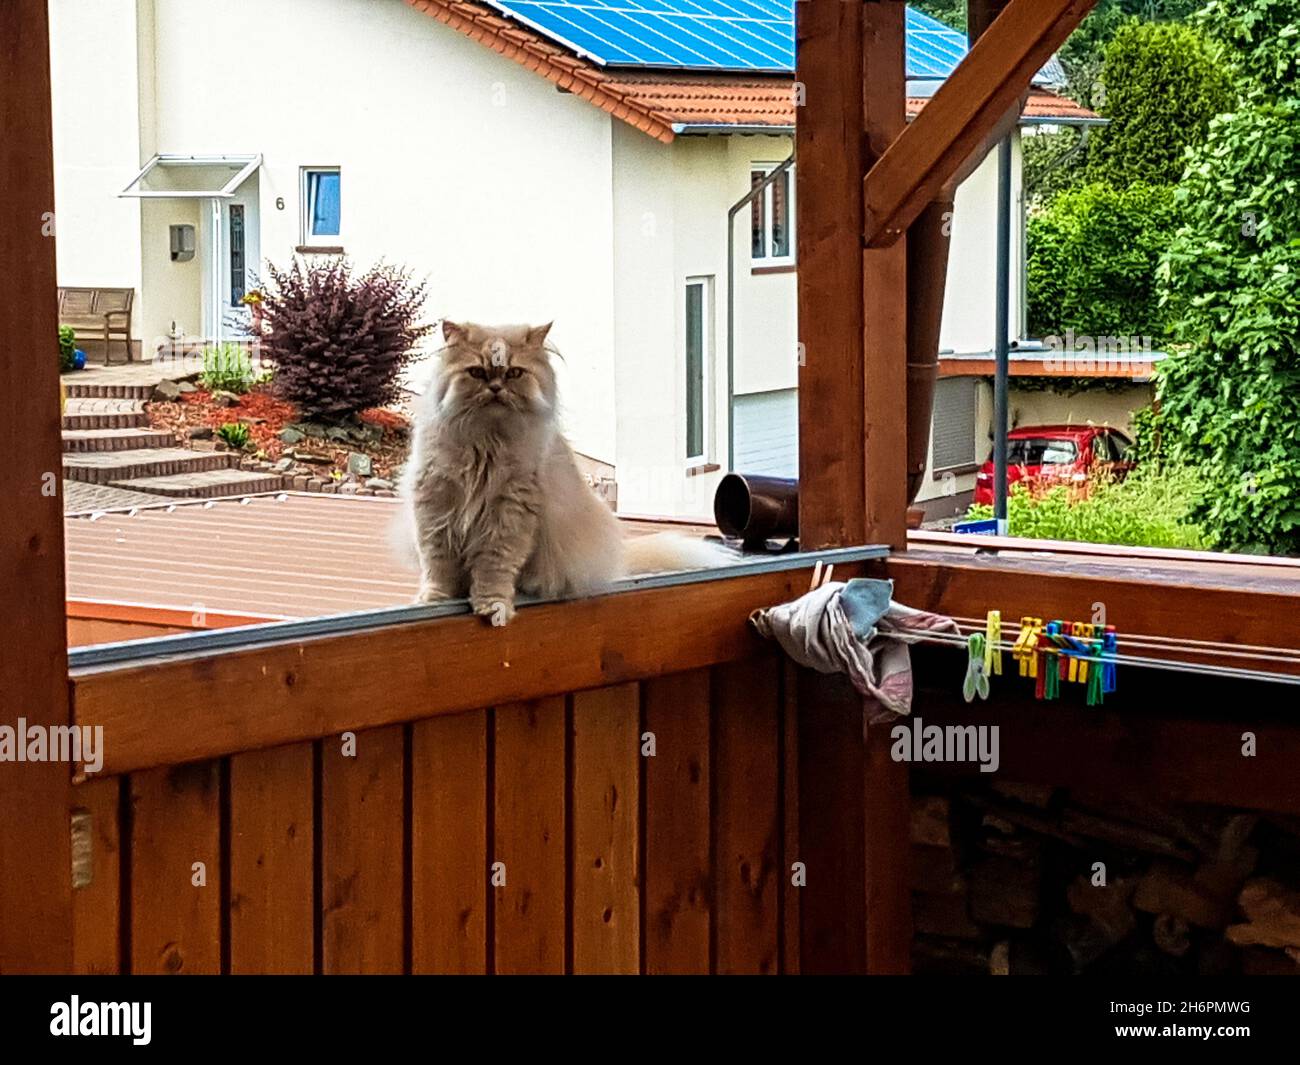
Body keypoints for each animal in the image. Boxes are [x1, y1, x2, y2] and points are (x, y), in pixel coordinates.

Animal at [395, 321, 728, 629]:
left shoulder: (509, 514)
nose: (496, 388)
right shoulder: (435, 506)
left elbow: (494, 569)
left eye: (514, 373)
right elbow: (438, 566)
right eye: (476, 372)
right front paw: (433, 600)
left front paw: (493, 607)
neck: (486, 443)